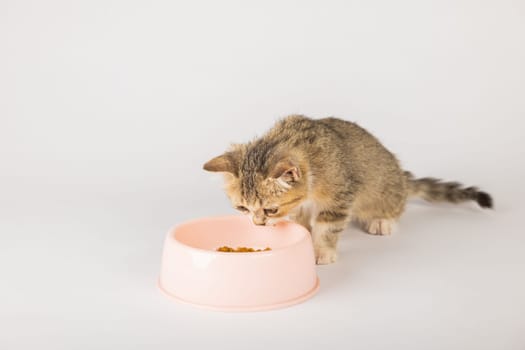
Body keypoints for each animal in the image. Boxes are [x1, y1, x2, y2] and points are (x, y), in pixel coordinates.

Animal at [202, 116, 492, 264]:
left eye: (270, 210)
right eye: (242, 208)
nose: (257, 223)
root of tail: (401, 175)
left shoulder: (340, 198)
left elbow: (327, 228)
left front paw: (321, 250)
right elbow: (301, 218)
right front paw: (303, 231)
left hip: (384, 191)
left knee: (395, 205)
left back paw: (383, 221)